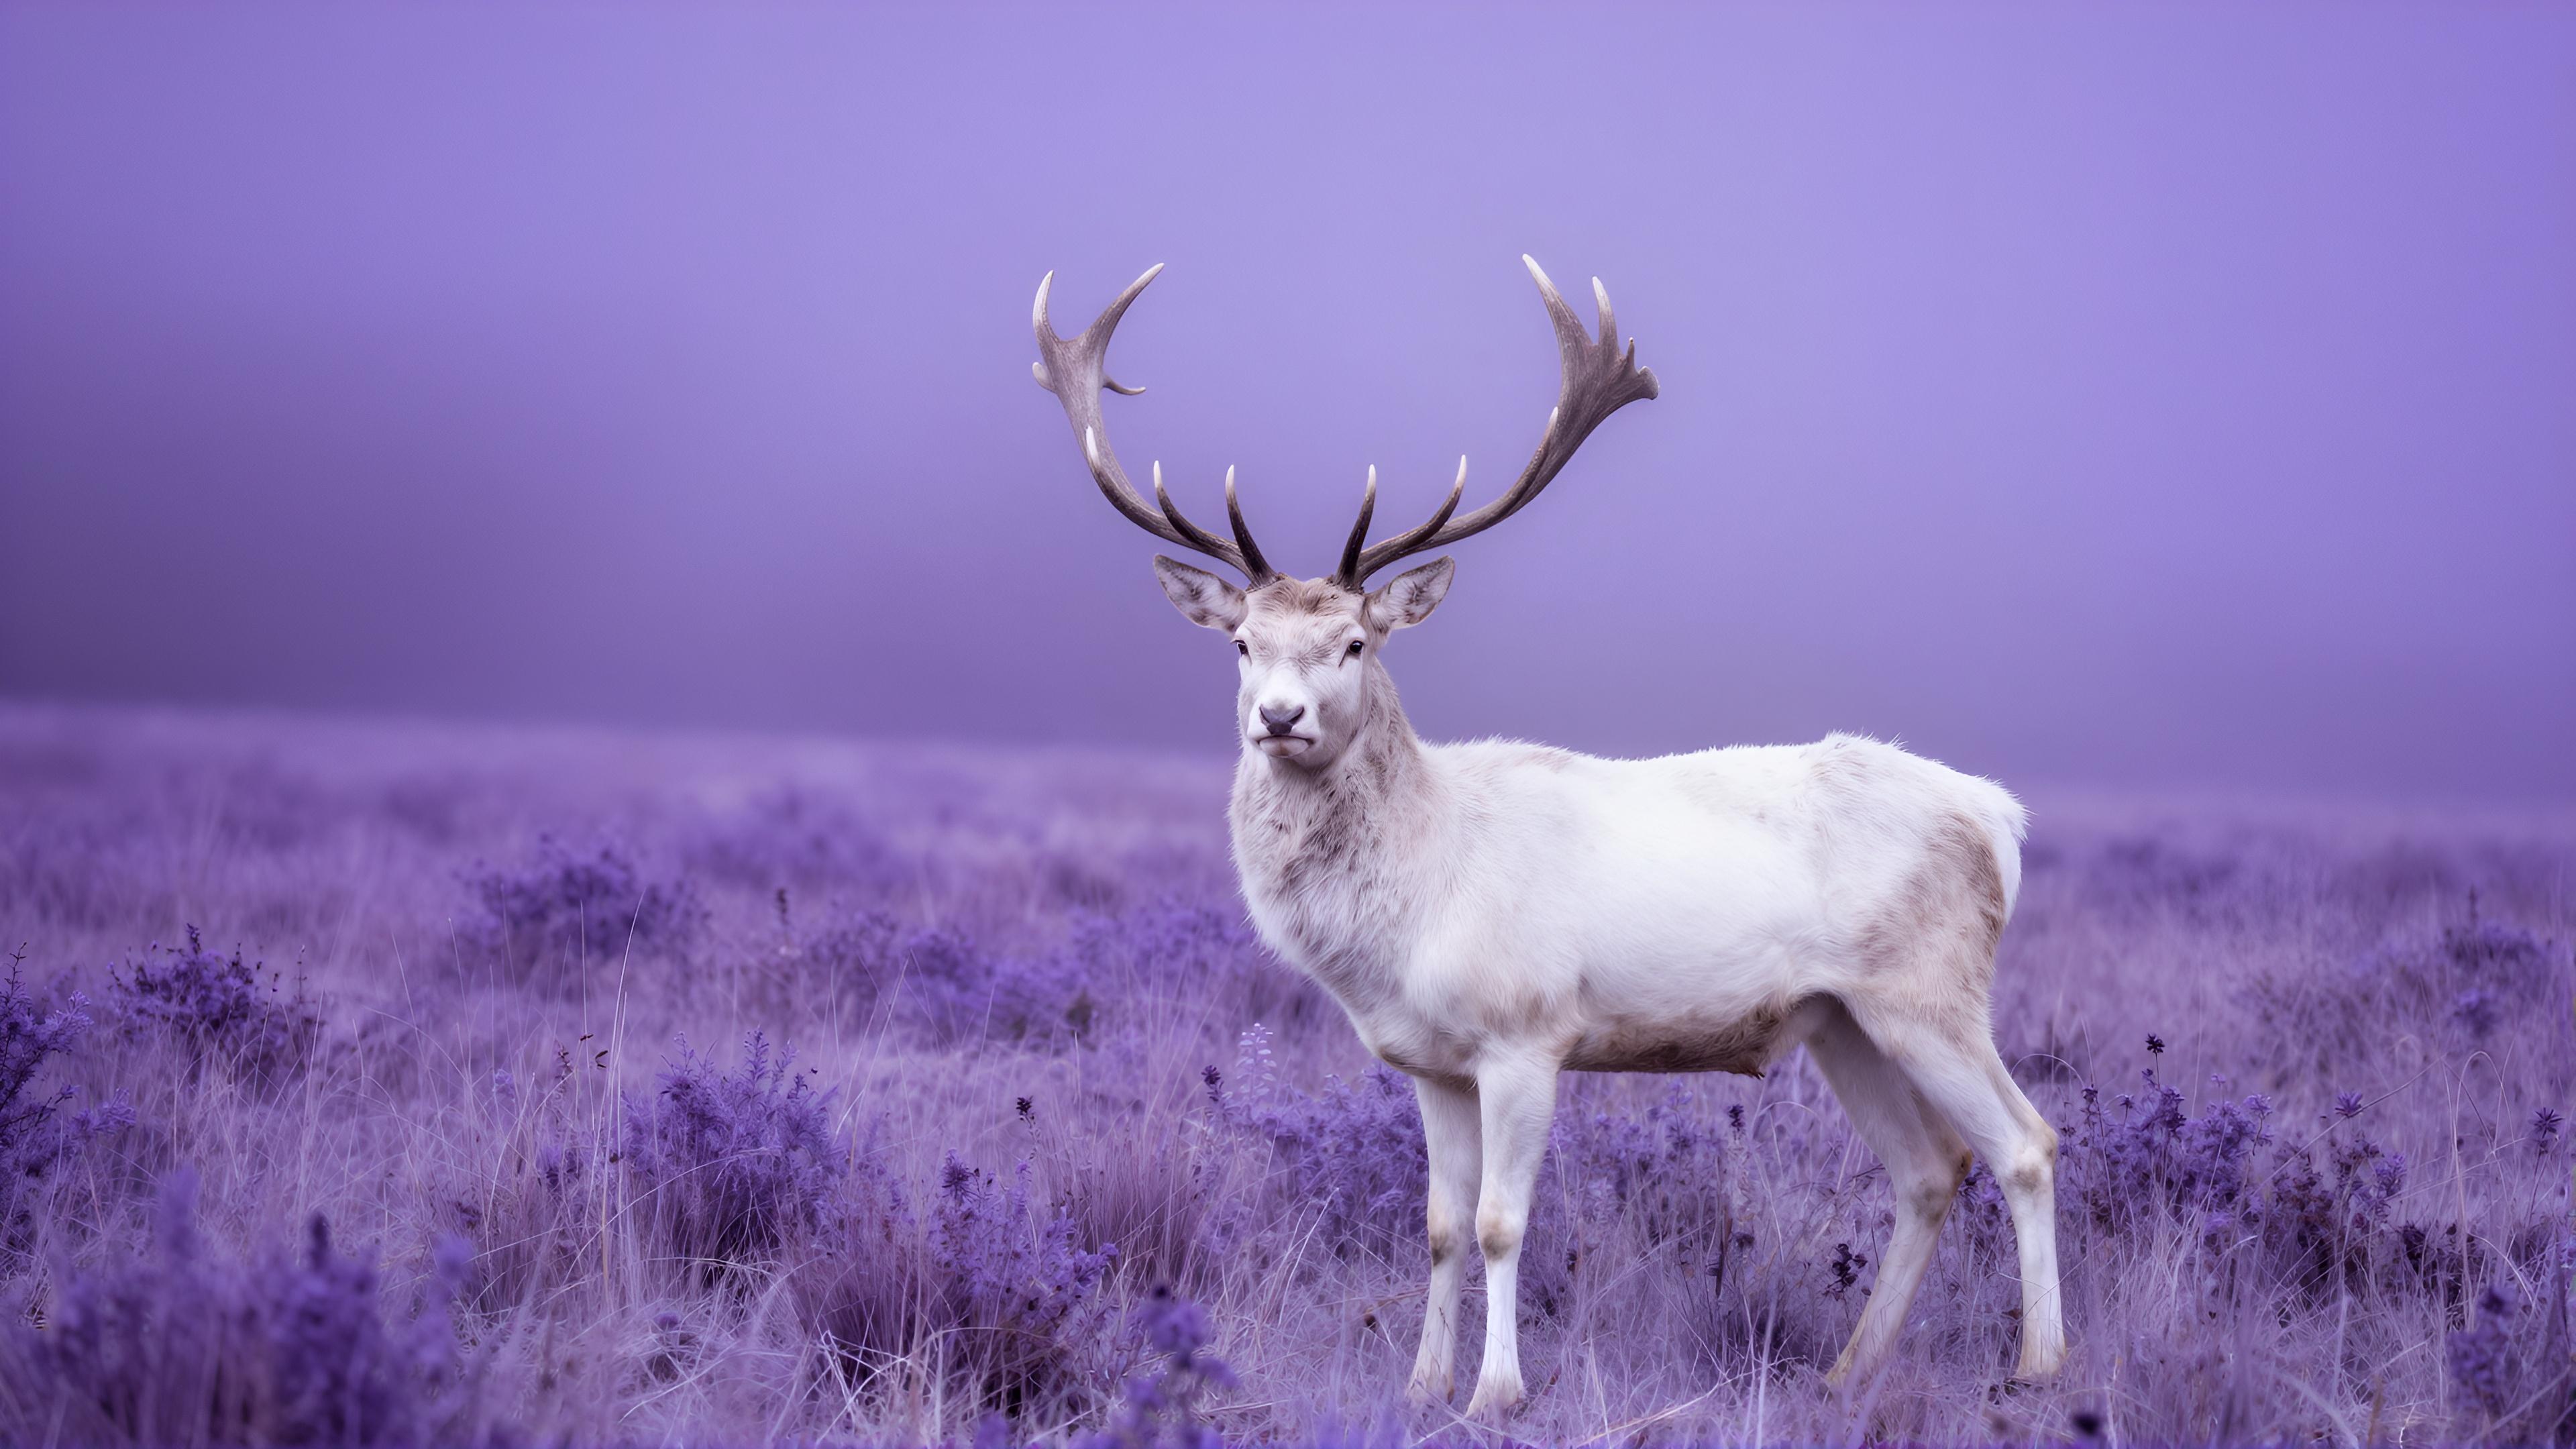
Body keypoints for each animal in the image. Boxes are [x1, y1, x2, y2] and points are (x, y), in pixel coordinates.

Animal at [1030, 257, 2065, 1419]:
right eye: (1244, 643)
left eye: (1355, 643)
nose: (1282, 718)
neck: (1410, 916)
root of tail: (1999, 818)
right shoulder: (1430, 1063)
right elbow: (1438, 1225)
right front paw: (1421, 1385)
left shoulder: (1528, 1034)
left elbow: (1499, 1224)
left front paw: (1498, 1393)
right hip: (1842, 1019)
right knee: (1930, 1168)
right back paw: (1849, 1371)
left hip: (1931, 989)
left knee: (2027, 1143)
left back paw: (2039, 1366)